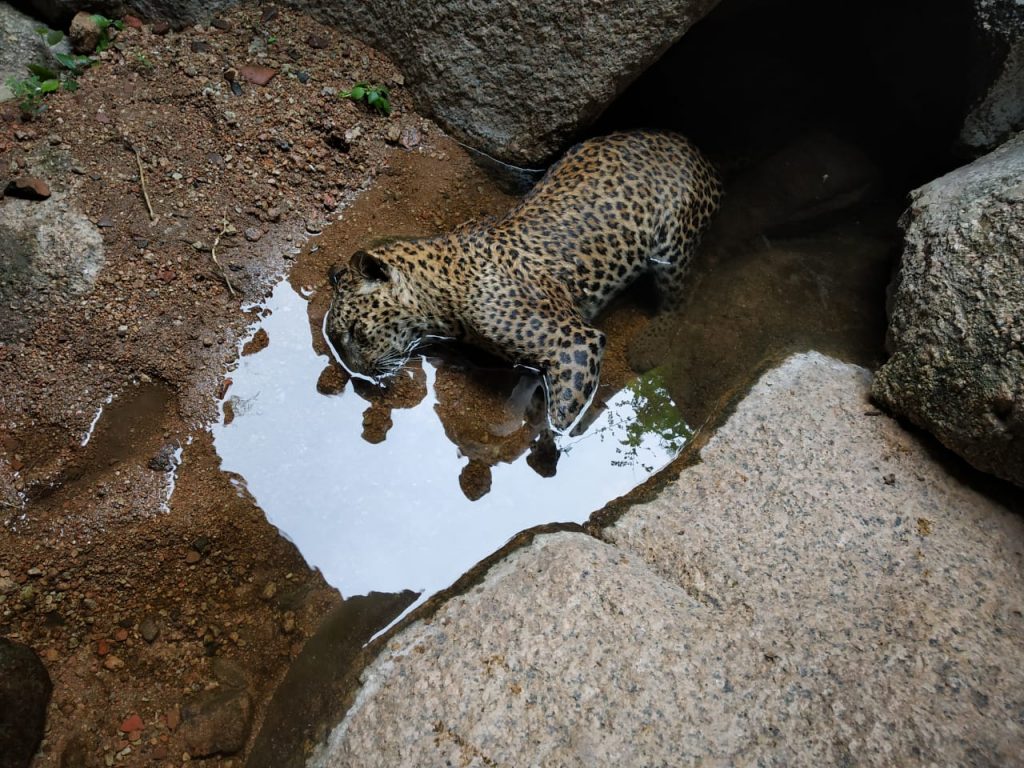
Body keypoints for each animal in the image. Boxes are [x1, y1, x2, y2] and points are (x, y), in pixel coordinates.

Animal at [323, 132, 716, 434]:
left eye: (357, 332)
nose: (359, 374)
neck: (441, 288)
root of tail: (690, 145)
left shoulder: (576, 341)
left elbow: (564, 415)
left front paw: (547, 436)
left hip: (673, 245)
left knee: (684, 293)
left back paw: (651, 344)